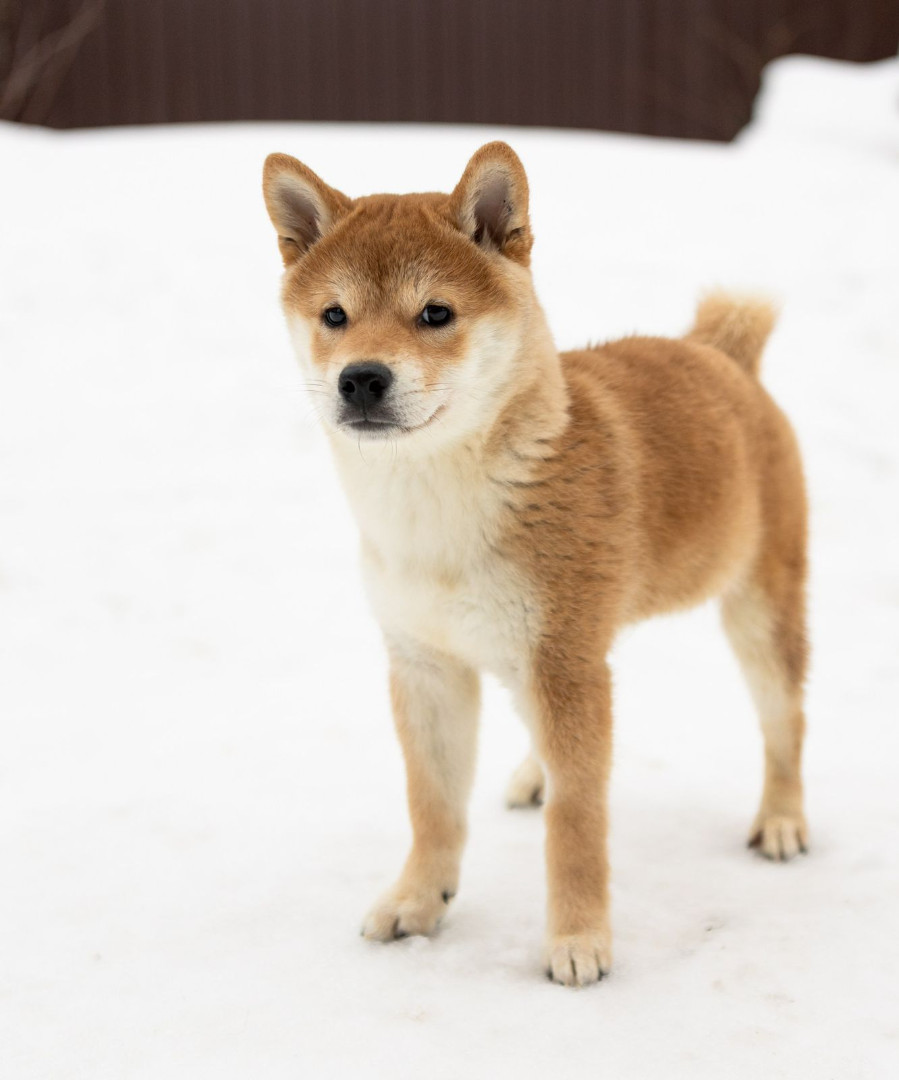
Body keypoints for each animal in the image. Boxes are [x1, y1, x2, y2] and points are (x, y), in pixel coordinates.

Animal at [263, 141, 812, 989]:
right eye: (334, 316)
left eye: (435, 313)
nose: (361, 377)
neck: (437, 511)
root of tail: (721, 356)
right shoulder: (426, 666)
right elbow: (431, 806)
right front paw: (418, 899)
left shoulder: (565, 663)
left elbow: (576, 825)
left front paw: (578, 939)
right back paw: (531, 774)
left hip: (753, 612)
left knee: (783, 722)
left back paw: (781, 819)